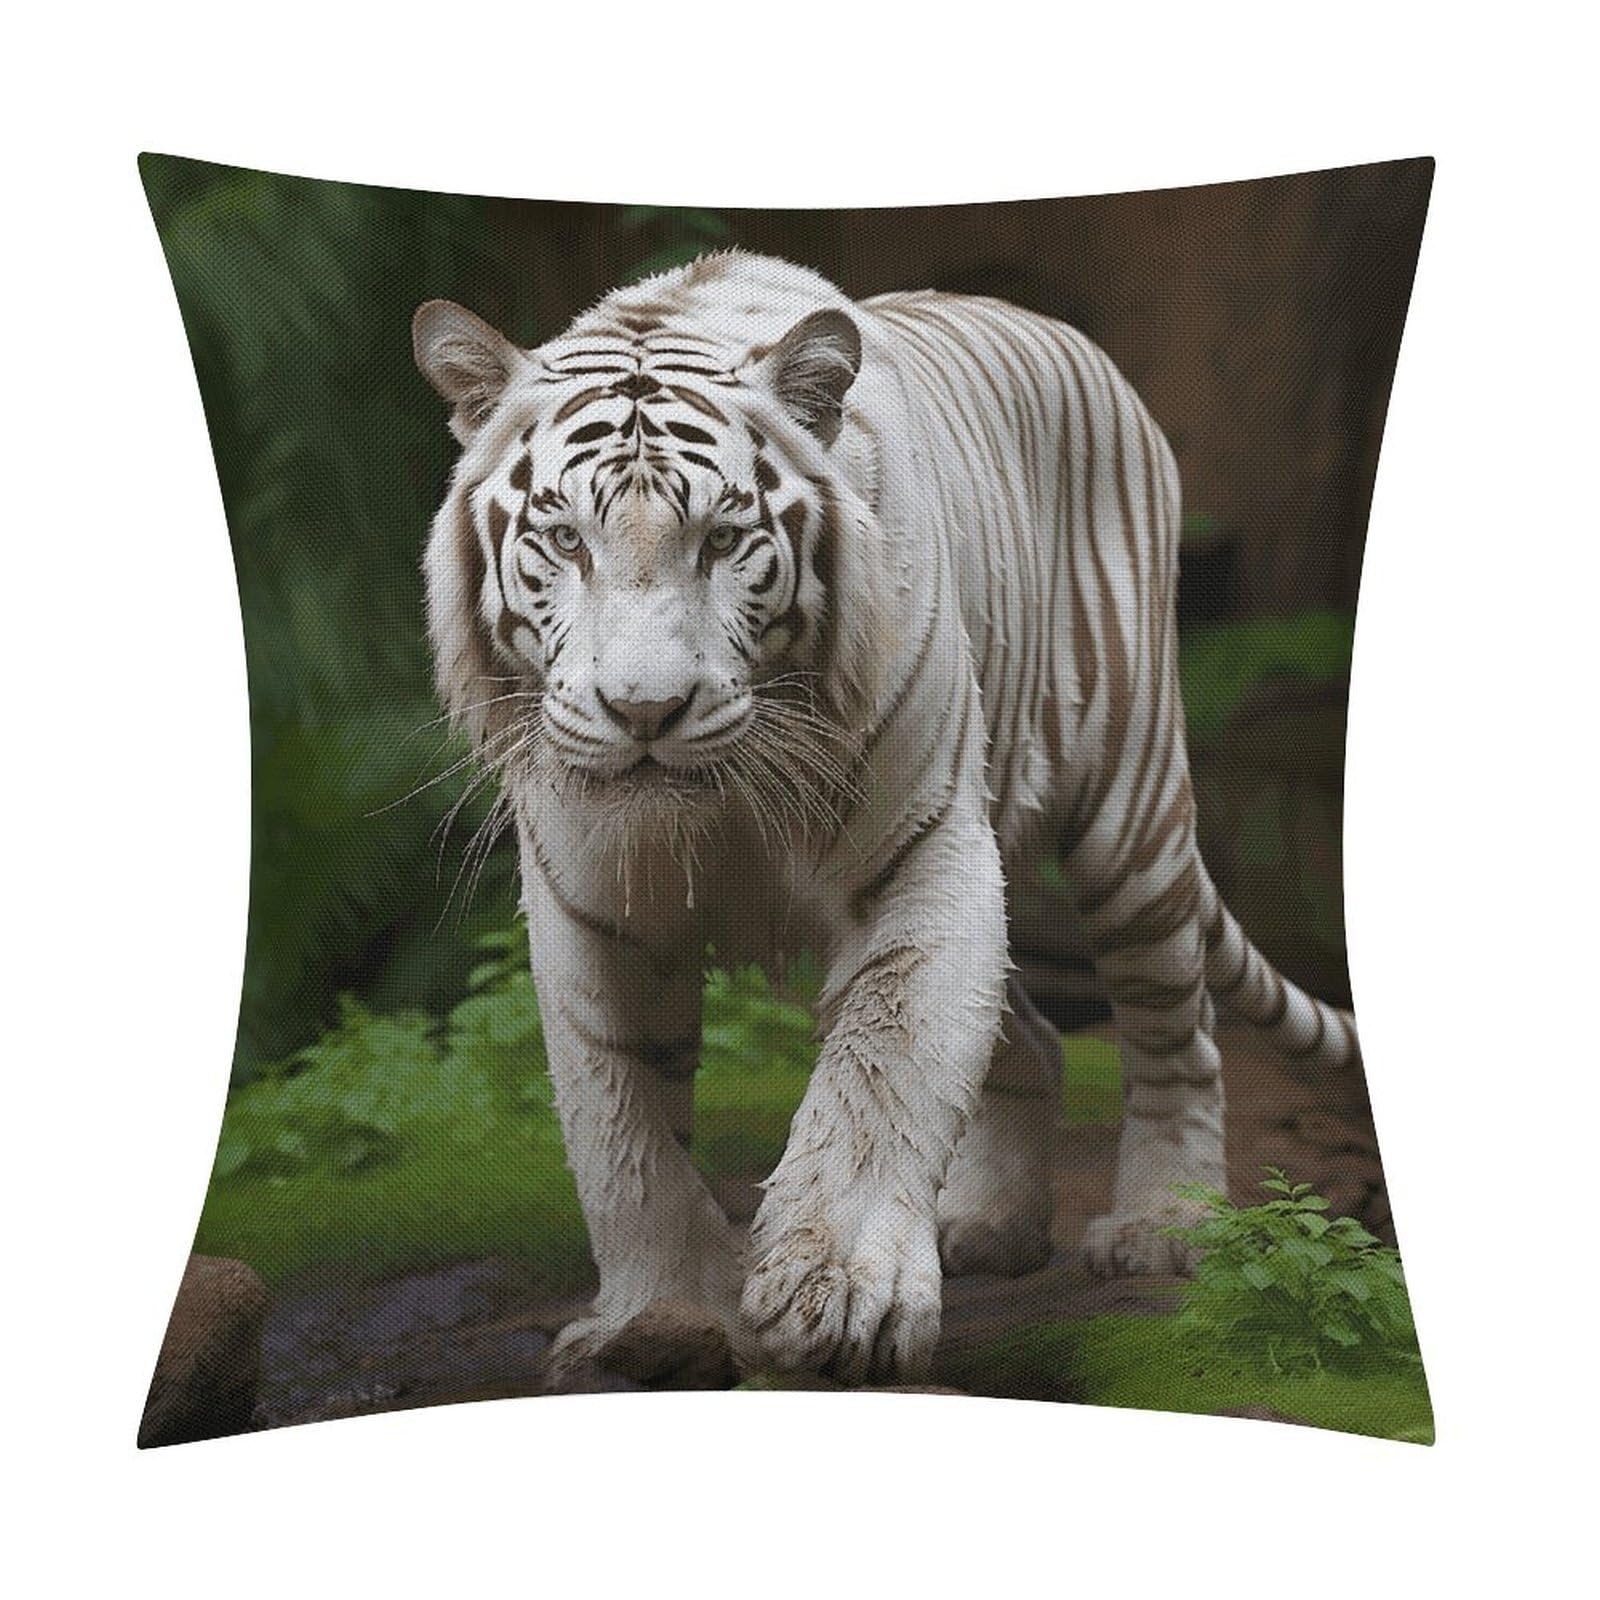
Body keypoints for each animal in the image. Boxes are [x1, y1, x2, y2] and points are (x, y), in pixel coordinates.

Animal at [414, 249, 1359, 1384]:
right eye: (564, 538)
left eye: (722, 539)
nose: (646, 710)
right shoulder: (590, 909)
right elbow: (621, 1133)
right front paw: (658, 1319)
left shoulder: (923, 853)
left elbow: (884, 1071)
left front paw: (839, 1299)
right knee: (1034, 1034)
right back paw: (989, 1223)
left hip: (1128, 809)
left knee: (1175, 1026)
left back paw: (1165, 1224)